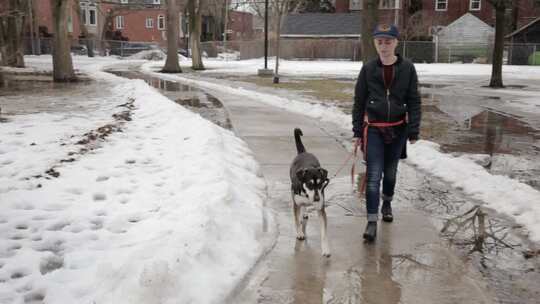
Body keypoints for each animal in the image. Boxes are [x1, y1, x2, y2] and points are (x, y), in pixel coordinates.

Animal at [288, 127, 332, 256]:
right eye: (309, 184)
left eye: (321, 183)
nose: (317, 199)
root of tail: (303, 152)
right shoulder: (296, 203)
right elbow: (296, 221)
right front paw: (299, 233)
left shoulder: (321, 209)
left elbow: (324, 233)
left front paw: (325, 249)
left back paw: (305, 213)